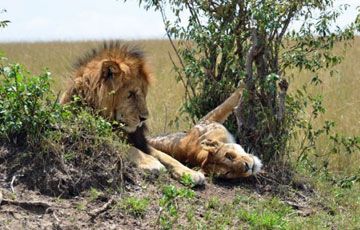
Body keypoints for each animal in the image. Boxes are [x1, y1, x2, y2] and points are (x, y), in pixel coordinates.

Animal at [59, 41, 205, 185]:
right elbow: (128, 148)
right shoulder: (97, 135)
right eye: (131, 94)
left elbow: (166, 156)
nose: (144, 118)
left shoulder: (140, 141)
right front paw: (151, 162)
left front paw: (191, 173)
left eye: (143, 94)